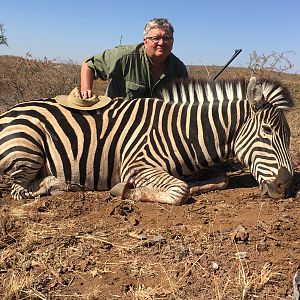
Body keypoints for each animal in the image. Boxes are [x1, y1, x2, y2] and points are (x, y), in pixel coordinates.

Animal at [0, 76, 294, 205]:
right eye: (267, 130)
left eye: (289, 136)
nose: (288, 185)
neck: (185, 132)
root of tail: (9, 111)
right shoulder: (137, 165)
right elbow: (179, 191)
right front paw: (124, 190)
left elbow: (219, 179)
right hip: (27, 148)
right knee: (19, 189)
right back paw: (60, 185)